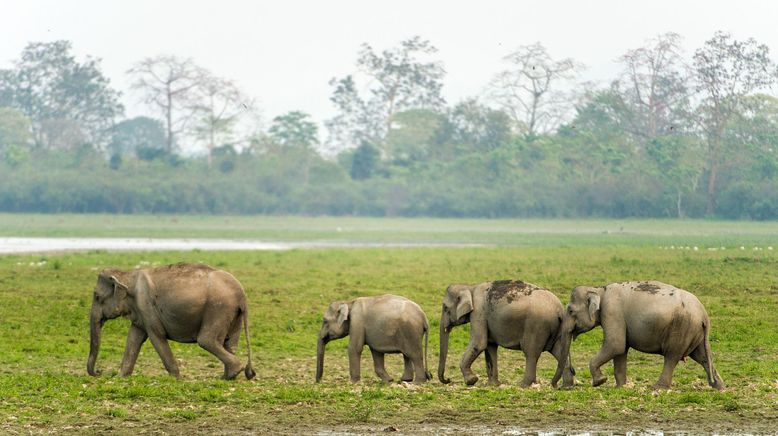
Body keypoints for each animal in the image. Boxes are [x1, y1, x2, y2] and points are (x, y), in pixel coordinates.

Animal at [85, 260, 255, 380]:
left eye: (97, 297)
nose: (100, 372)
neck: (126, 275)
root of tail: (242, 295)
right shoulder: (140, 311)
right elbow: (134, 338)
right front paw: (120, 377)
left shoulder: (146, 306)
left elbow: (156, 336)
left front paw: (177, 378)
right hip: (233, 313)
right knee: (230, 343)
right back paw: (228, 376)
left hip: (218, 308)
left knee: (206, 340)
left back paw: (232, 373)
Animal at [440, 280, 572, 388]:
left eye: (445, 308)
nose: (448, 379)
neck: (470, 287)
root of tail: (560, 309)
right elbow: (490, 346)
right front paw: (492, 385)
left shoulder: (478, 312)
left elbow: (479, 343)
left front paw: (471, 380)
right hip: (557, 329)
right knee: (559, 352)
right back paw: (566, 386)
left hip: (537, 326)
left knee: (531, 353)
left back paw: (523, 385)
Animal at [556, 282, 724, 390]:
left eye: (570, 310)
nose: (565, 386)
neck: (599, 289)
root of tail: (704, 315)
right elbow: (620, 349)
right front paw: (620, 387)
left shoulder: (612, 311)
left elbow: (615, 344)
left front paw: (599, 382)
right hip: (695, 332)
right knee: (702, 356)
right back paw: (719, 386)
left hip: (681, 328)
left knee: (671, 357)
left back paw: (657, 387)